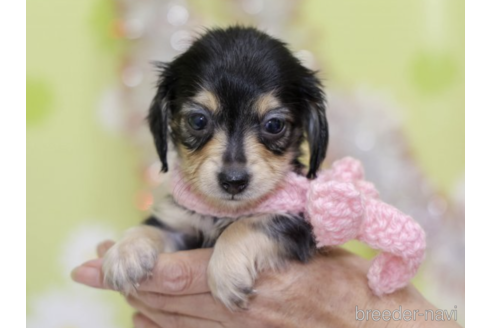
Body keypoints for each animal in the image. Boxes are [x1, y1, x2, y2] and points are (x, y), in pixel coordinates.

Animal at [102, 26, 328, 310]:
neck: (221, 212)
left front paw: (225, 271)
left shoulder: (299, 223)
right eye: (198, 120)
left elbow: (246, 225)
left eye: (274, 125)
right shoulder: (180, 224)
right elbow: (153, 226)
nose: (234, 181)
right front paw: (125, 251)